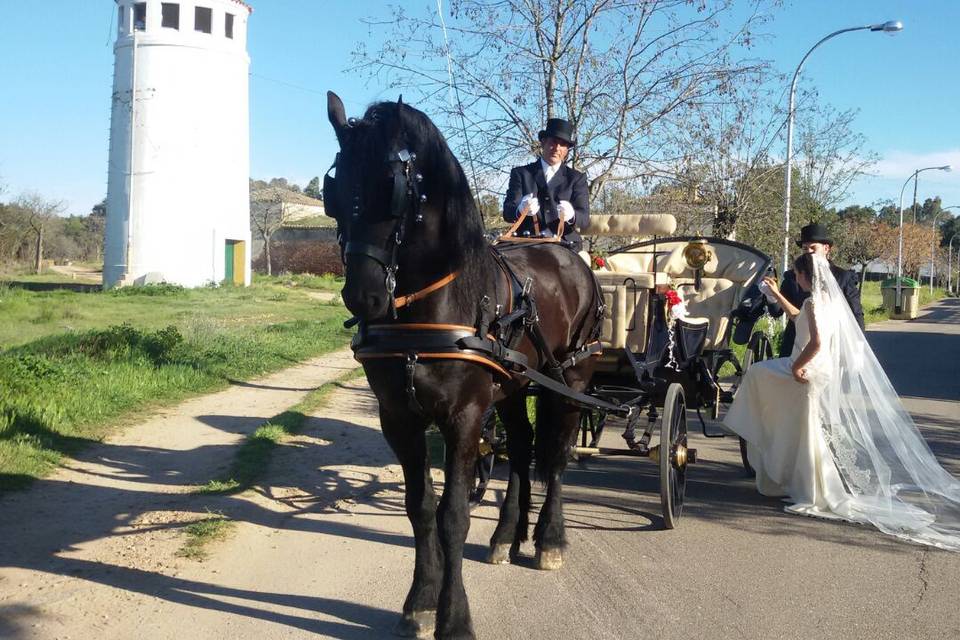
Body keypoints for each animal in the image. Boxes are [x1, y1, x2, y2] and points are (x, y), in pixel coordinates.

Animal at [328, 94, 600, 640]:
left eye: (394, 188)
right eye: (336, 188)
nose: (363, 296)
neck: (430, 308)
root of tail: (564, 252)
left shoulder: (465, 417)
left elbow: (452, 515)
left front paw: (454, 618)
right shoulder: (399, 418)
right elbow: (420, 508)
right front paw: (420, 600)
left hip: (569, 379)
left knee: (557, 457)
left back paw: (548, 540)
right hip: (514, 387)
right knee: (522, 449)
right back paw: (508, 535)